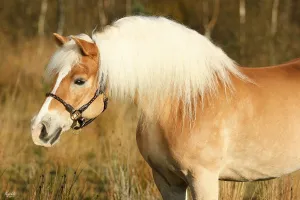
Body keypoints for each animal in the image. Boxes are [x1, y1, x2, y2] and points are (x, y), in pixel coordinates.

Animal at [31, 16, 300, 200]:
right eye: (57, 75)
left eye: (79, 80)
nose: (39, 128)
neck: (184, 105)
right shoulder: (167, 181)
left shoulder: (203, 179)